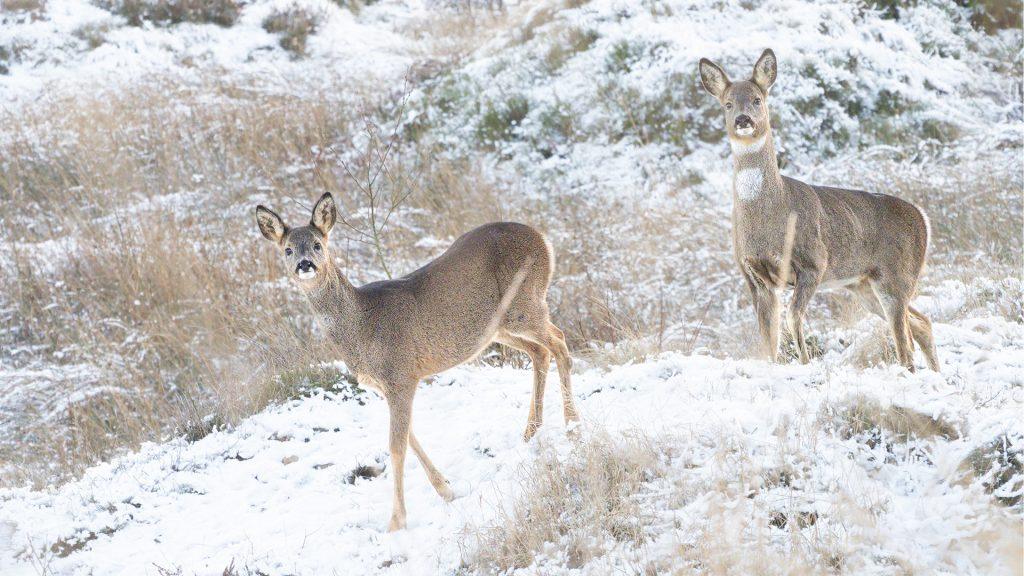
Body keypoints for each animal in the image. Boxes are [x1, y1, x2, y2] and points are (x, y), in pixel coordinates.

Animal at [254, 193, 579, 531]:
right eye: (288, 249)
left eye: (318, 244)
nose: (304, 264)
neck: (362, 328)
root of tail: (543, 238)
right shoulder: (385, 386)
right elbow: (409, 437)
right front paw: (446, 489)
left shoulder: (400, 375)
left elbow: (396, 446)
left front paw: (396, 522)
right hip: (498, 327)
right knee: (540, 352)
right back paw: (531, 432)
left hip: (525, 304)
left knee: (560, 342)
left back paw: (573, 426)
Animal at [698, 49, 939, 372]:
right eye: (727, 103)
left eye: (757, 99)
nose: (742, 119)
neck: (770, 215)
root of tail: (923, 219)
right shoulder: (753, 276)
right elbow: (768, 339)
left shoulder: (814, 262)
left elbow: (792, 319)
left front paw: (804, 362)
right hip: (864, 285)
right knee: (922, 323)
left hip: (897, 276)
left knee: (905, 341)